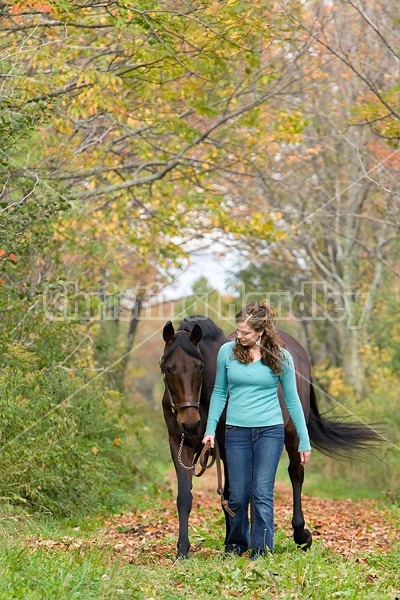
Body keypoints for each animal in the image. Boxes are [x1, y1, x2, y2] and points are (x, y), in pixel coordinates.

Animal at [161, 316, 380, 560]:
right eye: (168, 368)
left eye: (199, 366)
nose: (190, 423)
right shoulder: (180, 445)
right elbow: (185, 497)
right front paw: (182, 550)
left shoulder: (226, 447)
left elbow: (230, 493)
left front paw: (231, 544)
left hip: (293, 434)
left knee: (295, 474)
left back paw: (300, 535)